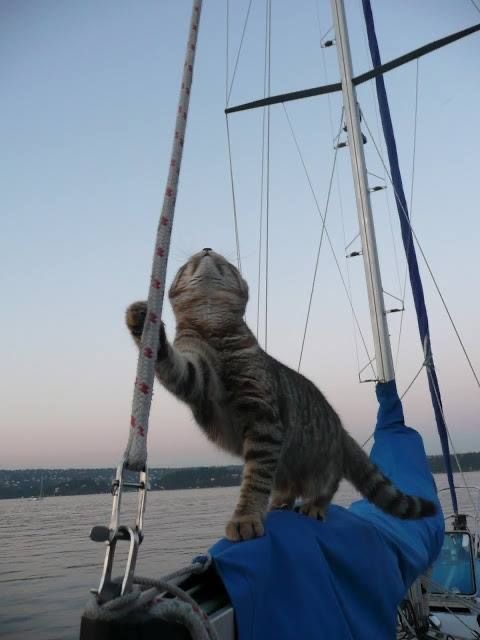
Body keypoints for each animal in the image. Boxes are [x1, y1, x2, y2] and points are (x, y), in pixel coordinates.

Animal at [125, 249, 436, 540]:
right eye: (187, 264)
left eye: (228, 264)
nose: (207, 248)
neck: (214, 327)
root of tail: (341, 430)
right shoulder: (196, 376)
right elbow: (171, 362)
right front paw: (142, 323)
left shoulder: (262, 416)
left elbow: (255, 479)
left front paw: (246, 517)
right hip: (287, 463)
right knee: (286, 483)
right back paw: (282, 500)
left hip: (321, 467)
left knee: (327, 486)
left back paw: (315, 505)